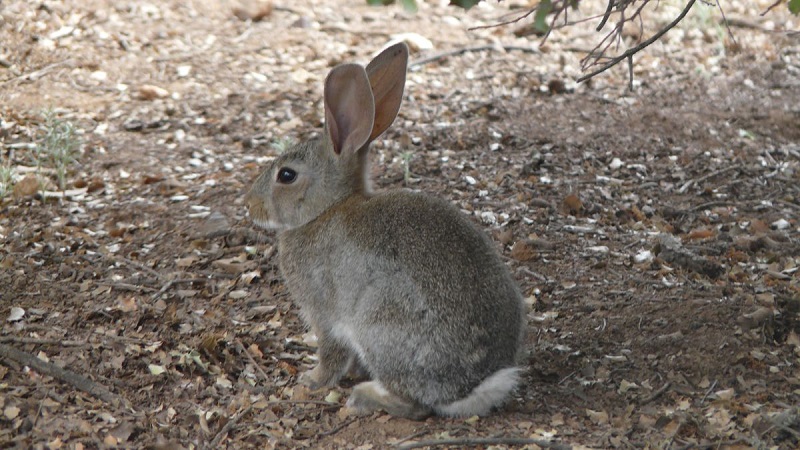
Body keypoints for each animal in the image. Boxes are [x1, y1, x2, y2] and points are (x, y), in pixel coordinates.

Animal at [247, 42, 528, 418]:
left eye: (287, 175)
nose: (249, 205)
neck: (326, 210)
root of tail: (470, 387)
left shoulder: (324, 313)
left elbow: (331, 352)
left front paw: (312, 380)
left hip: (379, 325)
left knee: (414, 405)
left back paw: (365, 396)